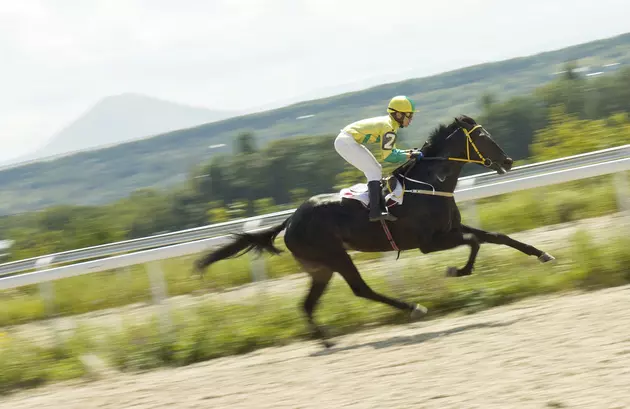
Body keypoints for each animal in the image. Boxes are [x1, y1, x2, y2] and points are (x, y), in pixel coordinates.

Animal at [195, 115, 556, 348]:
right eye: (482, 138)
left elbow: (495, 237)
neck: (428, 184)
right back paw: (413, 308)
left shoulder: (451, 229)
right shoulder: (430, 242)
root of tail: (290, 220)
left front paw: (542, 254)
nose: (508, 161)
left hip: (321, 268)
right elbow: (475, 243)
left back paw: (326, 341)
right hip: (335, 256)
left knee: (308, 304)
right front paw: (458, 270)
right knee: (360, 289)